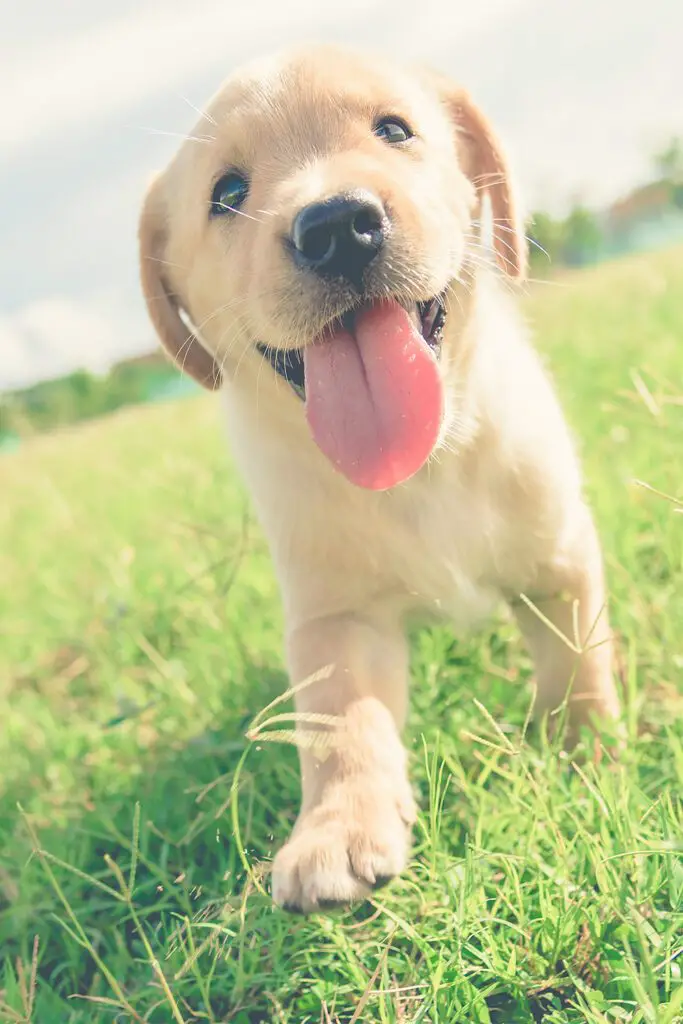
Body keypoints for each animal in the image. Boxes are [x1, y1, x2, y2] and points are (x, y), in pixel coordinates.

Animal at [137, 46, 618, 913]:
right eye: (228, 193)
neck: (422, 468)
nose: (333, 227)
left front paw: (583, 751)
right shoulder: (336, 617)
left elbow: (577, 657)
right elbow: (340, 723)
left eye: (393, 131)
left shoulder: (556, 554)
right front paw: (337, 830)